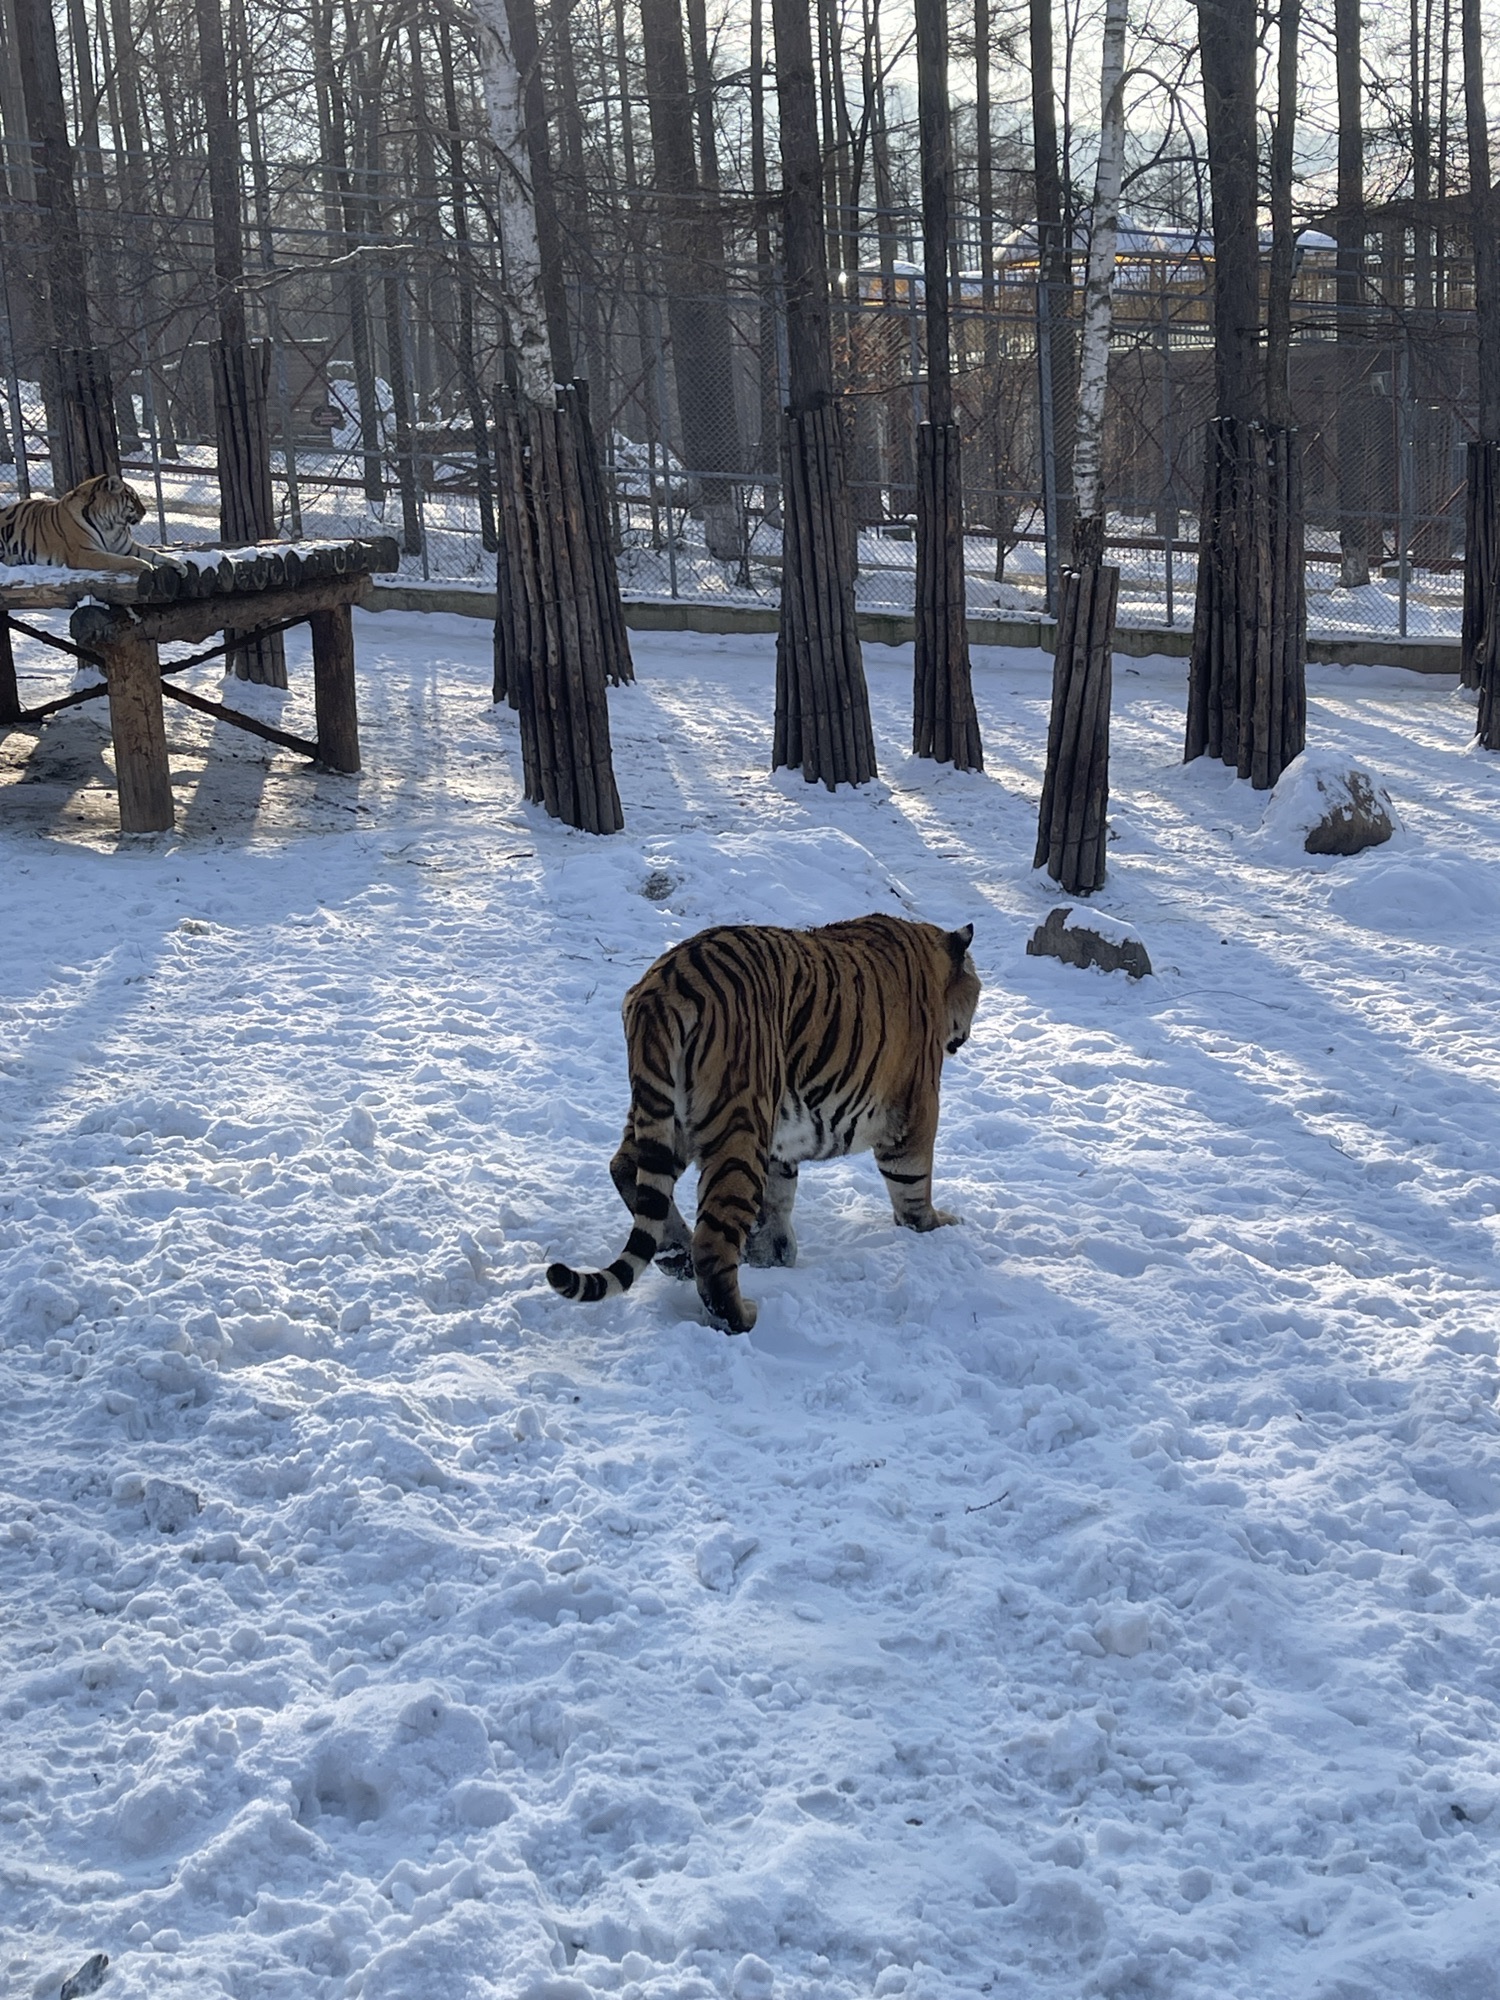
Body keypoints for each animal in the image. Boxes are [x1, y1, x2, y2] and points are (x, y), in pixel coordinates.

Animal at [0, 473, 157, 575]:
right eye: (133, 497)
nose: (145, 512)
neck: (111, 526)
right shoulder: (84, 553)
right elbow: (117, 560)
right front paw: (146, 565)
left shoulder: (126, 547)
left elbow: (155, 554)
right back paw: (14, 559)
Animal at [546, 913, 981, 1334]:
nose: (966, 1033)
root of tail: (664, 984)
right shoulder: (916, 1106)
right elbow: (913, 1183)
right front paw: (936, 1225)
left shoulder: (783, 1130)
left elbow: (777, 1197)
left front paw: (772, 1252)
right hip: (740, 1126)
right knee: (712, 1242)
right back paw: (737, 1315)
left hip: (666, 1114)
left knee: (627, 1168)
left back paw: (676, 1253)